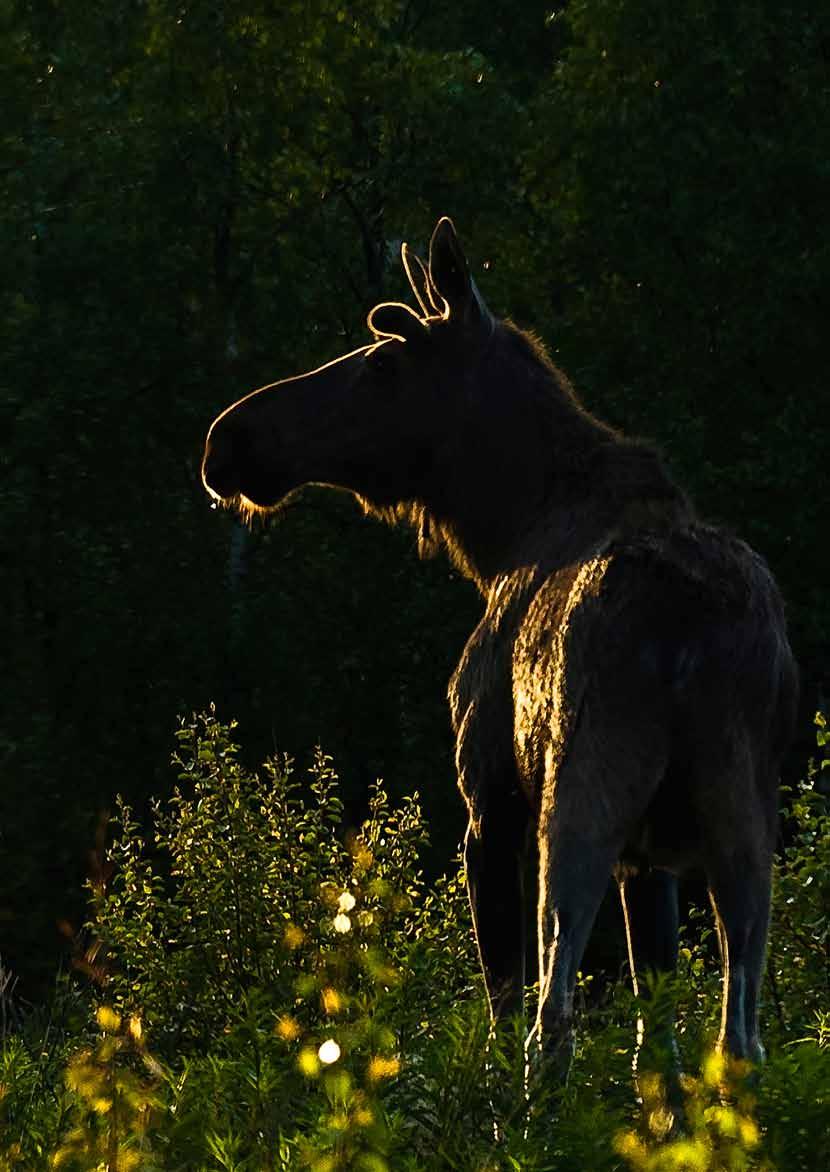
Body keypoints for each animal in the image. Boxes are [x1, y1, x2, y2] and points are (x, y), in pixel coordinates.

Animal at [200, 217, 797, 1078]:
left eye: (383, 358)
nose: (227, 439)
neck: (499, 532)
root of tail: (688, 635)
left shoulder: (488, 800)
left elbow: (499, 1005)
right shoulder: (648, 860)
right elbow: (658, 1041)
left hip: (575, 801)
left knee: (553, 1020)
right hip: (746, 821)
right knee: (738, 1036)